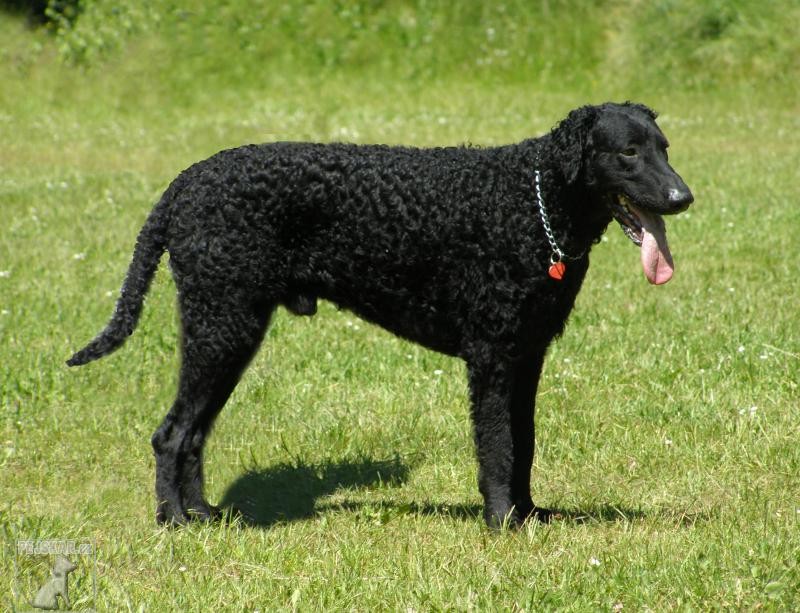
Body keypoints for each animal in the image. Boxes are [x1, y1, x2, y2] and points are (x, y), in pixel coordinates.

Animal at [70, 101, 692, 524]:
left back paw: (206, 514)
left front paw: (531, 514)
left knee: (194, 432)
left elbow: (525, 442)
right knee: (172, 433)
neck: (532, 202)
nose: (683, 198)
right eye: (628, 152)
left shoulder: (527, 354)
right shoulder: (491, 355)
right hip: (222, 324)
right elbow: (497, 445)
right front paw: (502, 522)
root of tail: (185, 181)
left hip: (229, 329)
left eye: (664, 147)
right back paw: (176, 522)